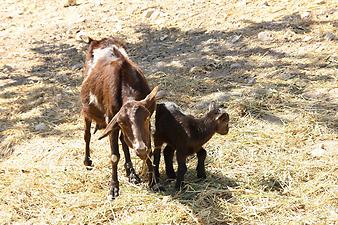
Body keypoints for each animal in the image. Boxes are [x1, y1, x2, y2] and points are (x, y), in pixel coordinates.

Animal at [80, 37, 158, 199]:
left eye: (146, 118)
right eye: (123, 122)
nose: (140, 149)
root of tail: (96, 40)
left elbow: (149, 149)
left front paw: (153, 182)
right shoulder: (112, 121)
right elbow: (114, 155)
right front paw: (113, 188)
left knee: (123, 141)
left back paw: (131, 173)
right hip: (86, 112)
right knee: (87, 135)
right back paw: (87, 161)